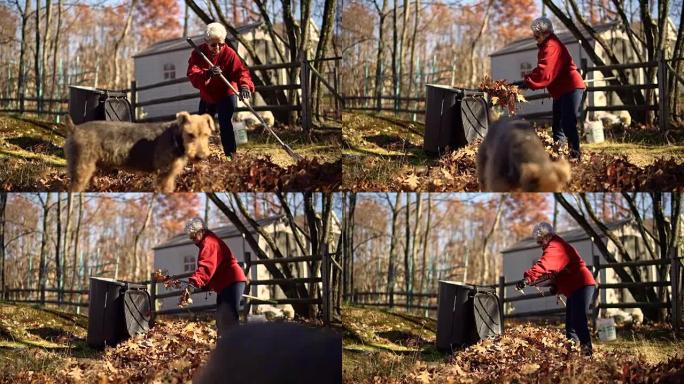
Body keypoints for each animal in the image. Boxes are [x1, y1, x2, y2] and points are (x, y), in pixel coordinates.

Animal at [64, 112, 215, 194]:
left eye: (206, 135)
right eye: (190, 134)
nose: (201, 156)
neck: (175, 138)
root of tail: (74, 128)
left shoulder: (170, 175)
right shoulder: (164, 173)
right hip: (81, 168)